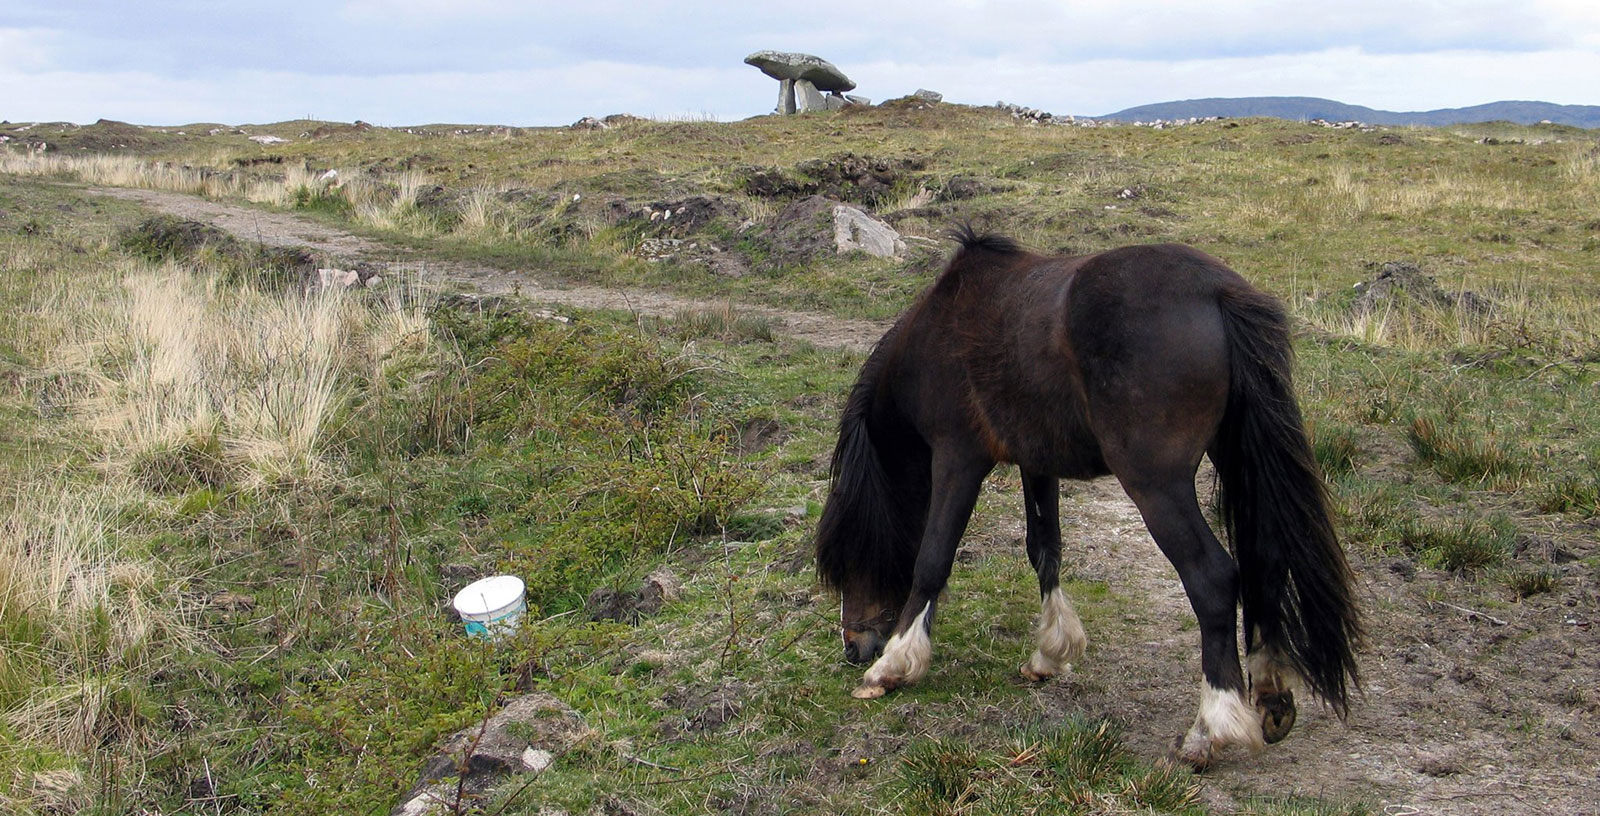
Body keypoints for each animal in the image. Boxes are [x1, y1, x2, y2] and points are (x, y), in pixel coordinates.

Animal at [819, 227, 1356, 764]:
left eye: (848, 560)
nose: (853, 646)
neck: (938, 330)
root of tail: (1216, 292)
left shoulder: (958, 459)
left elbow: (932, 560)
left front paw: (892, 666)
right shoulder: (1036, 463)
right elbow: (1044, 549)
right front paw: (1049, 653)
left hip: (1156, 484)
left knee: (1214, 579)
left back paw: (1209, 728)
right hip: (1232, 451)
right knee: (1265, 560)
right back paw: (1270, 696)